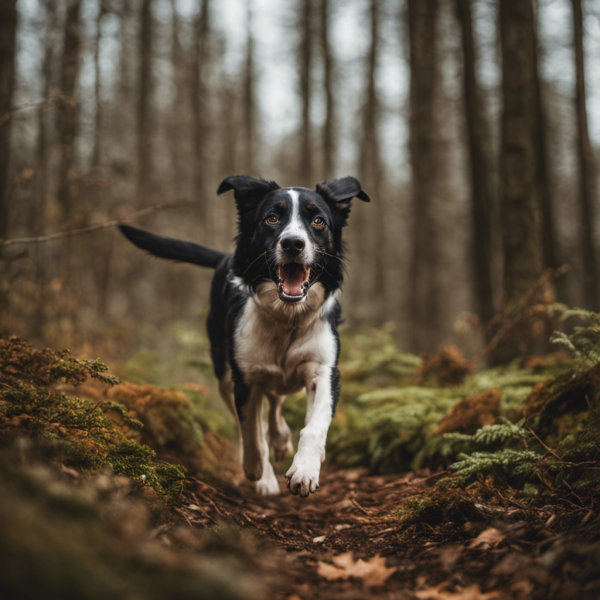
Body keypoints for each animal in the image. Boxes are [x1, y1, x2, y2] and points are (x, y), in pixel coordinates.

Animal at [119, 177, 368, 496]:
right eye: (271, 219)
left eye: (318, 221)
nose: (293, 243)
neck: (287, 318)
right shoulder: (245, 376)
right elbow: (251, 430)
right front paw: (257, 472)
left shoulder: (323, 370)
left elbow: (315, 424)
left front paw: (305, 469)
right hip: (223, 371)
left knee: (277, 402)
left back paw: (282, 439)